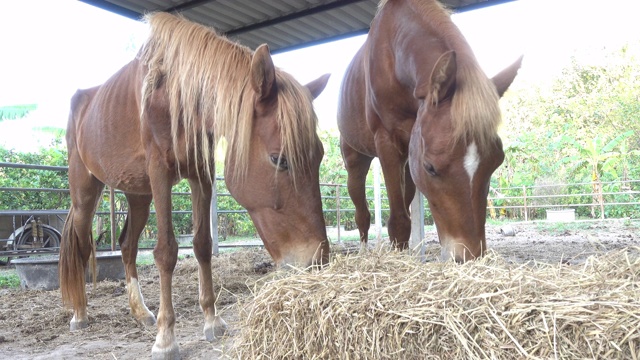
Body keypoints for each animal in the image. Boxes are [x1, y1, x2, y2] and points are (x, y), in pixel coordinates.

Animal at [58, 11, 330, 360]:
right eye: (279, 160)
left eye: (320, 155)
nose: (318, 260)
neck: (174, 94)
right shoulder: (160, 173)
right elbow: (166, 252)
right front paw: (166, 339)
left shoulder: (201, 173)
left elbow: (202, 244)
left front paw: (212, 321)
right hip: (85, 193)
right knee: (81, 246)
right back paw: (80, 314)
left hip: (137, 194)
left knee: (127, 246)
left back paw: (141, 312)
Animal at [338, 0, 524, 262]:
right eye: (430, 167)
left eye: (497, 162)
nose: (468, 255)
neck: (393, 54)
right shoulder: (387, 142)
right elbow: (398, 220)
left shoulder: (411, 149)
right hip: (356, 158)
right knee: (361, 211)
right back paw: (364, 250)